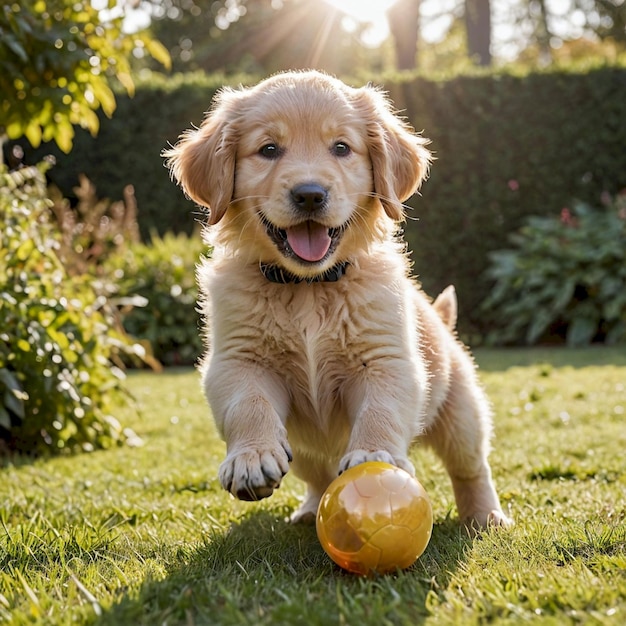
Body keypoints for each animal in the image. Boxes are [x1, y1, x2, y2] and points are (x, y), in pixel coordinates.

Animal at [163, 69, 510, 528]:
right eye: (268, 149)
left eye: (342, 148)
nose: (310, 194)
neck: (309, 287)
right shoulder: (237, 360)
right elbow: (247, 404)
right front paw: (251, 457)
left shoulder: (386, 359)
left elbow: (380, 411)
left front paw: (374, 453)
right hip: (304, 449)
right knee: (319, 476)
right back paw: (311, 509)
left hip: (462, 414)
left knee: (472, 467)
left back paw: (485, 516)